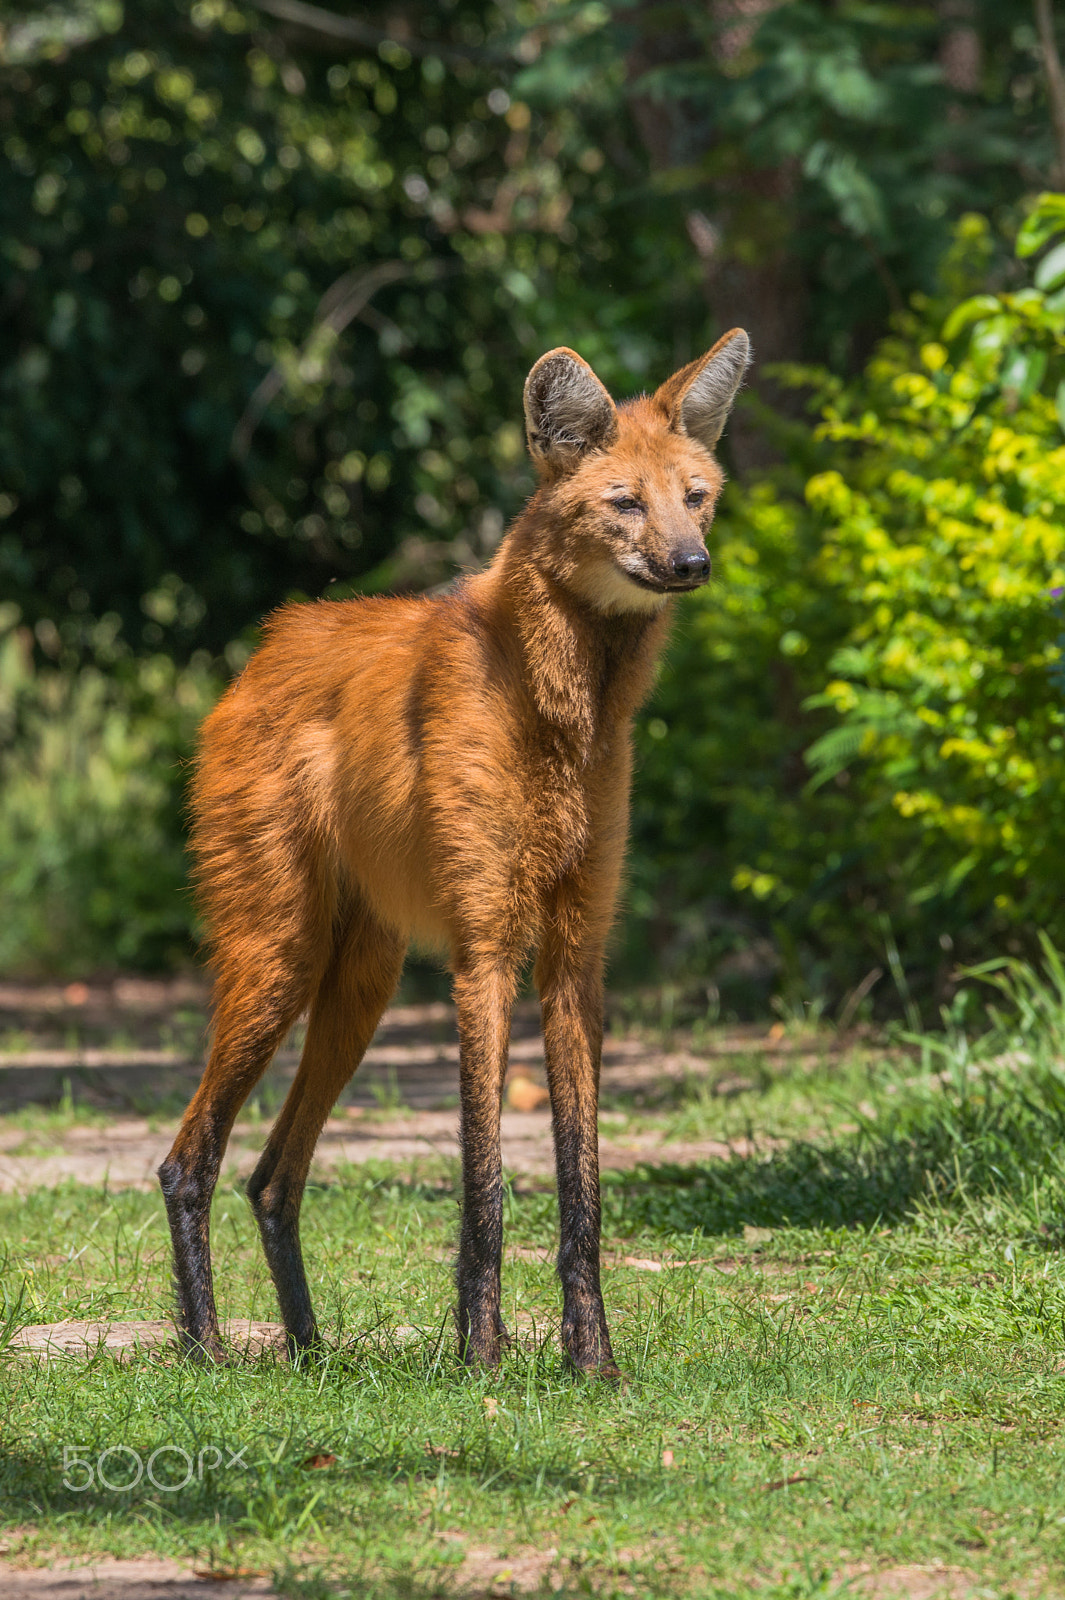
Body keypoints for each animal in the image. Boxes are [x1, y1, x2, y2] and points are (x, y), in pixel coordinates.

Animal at [161, 331, 751, 1382]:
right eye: (624, 503)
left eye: (696, 496)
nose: (692, 561)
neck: (567, 710)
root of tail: (265, 647)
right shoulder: (486, 950)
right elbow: (486, 1181)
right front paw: (482, 1355)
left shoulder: (573, 958)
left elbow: (580, 1191)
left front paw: (590, 1363)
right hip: (280, 964)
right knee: (188, 1163)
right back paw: (208, 1353)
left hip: (361, 988)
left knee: (272, 1179)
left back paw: (311, 1355)